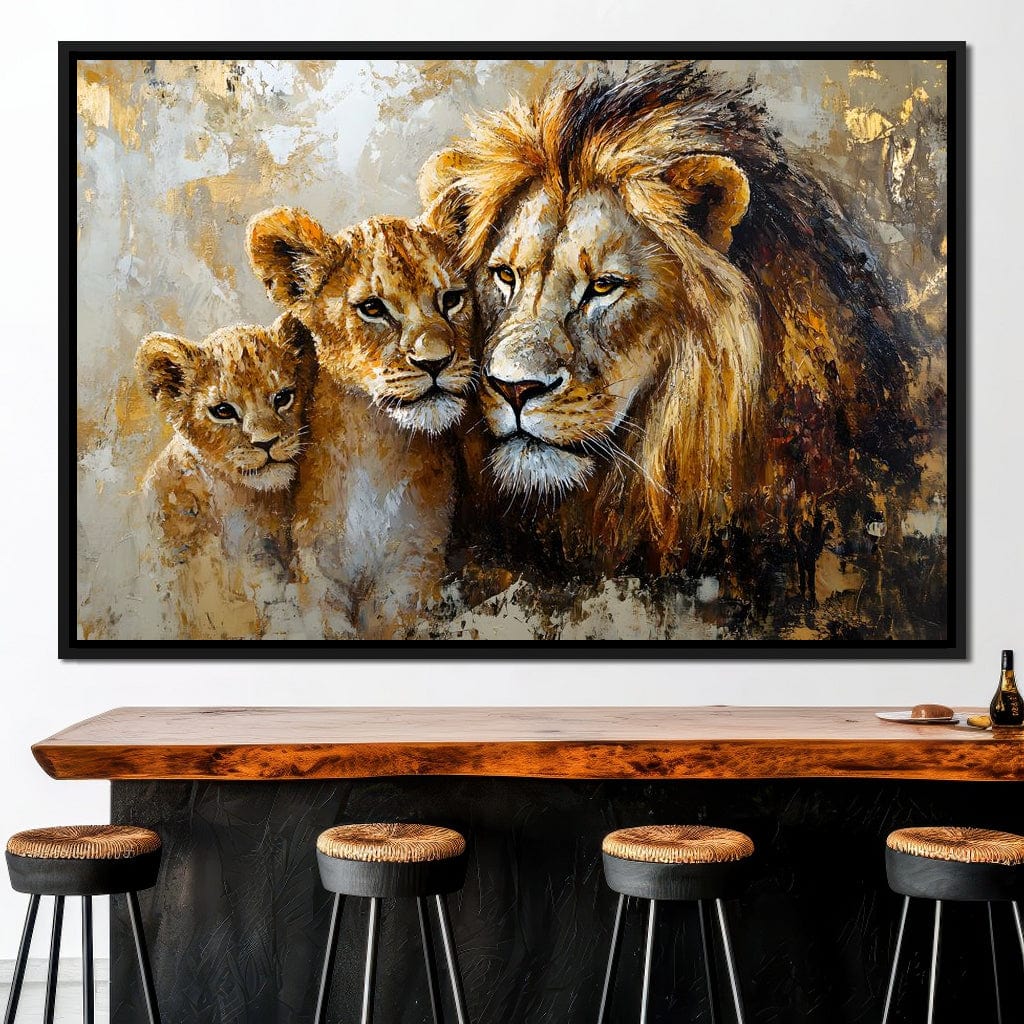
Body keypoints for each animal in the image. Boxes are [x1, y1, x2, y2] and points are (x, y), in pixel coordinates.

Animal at [246, 207, 477, 639]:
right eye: (372, 309)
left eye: (452, 299)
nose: (436, 361)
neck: (376, 446)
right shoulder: (316, 567)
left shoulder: (414, 567)